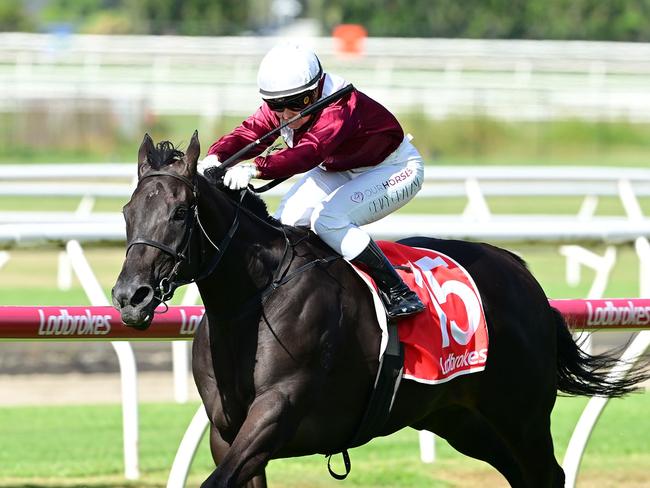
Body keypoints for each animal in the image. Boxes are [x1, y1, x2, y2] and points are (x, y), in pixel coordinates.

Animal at [114, 132, 644, 486]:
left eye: (180, 212)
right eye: (127, 212)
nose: (129, 297)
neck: (254, 300)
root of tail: (522, 274)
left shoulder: (277, 411)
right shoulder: (227, 432)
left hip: (521, 413)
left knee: (547, 474)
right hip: (461, 419)